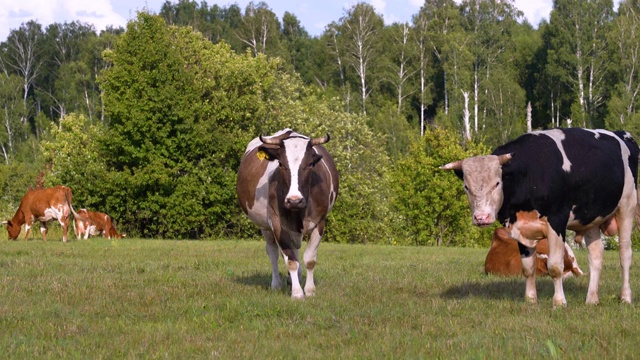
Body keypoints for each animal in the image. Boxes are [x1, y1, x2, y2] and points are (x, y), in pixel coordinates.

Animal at [236, 129, 340, 298]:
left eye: (310, 164)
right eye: (281, 164)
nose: (294, 200)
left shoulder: (320, 222)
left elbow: (309, 259)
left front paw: (309, 290)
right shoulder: (277, 223)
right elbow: (290, 260)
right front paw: (297, 293)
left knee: (295, 250)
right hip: (265, 227)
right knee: (273, 253)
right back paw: (277, 284)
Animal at [440, 128, 640, 308]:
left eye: (497, 183)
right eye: (466, 187)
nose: (481, 217)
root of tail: (622, 134)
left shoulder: (556, 222)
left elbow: (555, 267)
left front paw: (559, 302)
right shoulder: (519, 229)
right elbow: (528, 268)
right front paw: (530, 299)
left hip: (627, 206)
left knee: (625, 254)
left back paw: (625, 297)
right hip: (590, 219)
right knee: (596, 256)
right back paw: (591, 299)